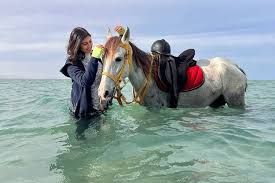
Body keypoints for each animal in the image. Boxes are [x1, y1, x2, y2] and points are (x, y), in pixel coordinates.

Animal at [99, 27, 248, 108]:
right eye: (102, 58)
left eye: (118, 58)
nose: (102, 93)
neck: (149, 78)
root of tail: (235, 66)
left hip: (236, 101)